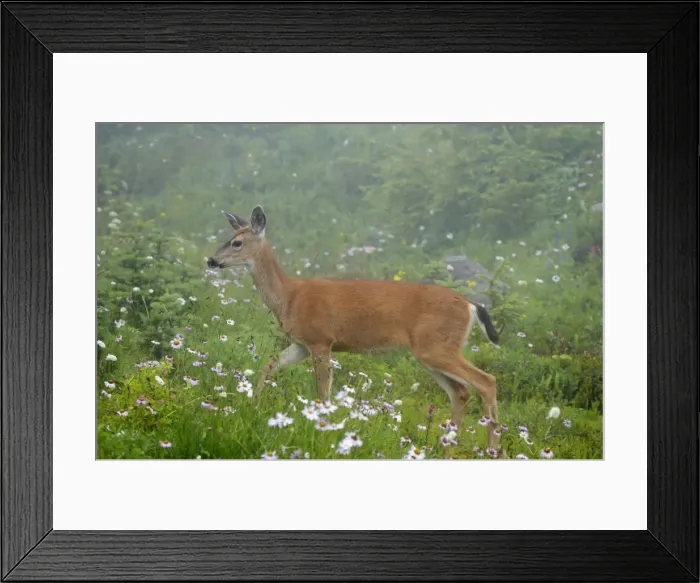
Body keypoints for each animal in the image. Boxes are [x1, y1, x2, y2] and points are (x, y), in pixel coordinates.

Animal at [207, 206, 506, 456]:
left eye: (236, 242)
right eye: (230, 237)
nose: (211, 260)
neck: (289, 296)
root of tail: (470, 304)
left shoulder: (320, 339)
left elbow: (322, 391)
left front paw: (322, 430)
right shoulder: (302, 344)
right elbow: (268, 366)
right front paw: (252, 406)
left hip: (437, 346)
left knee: (486, 381)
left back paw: (493, 449)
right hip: (431, 352)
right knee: (461, 391)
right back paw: (447, 448)